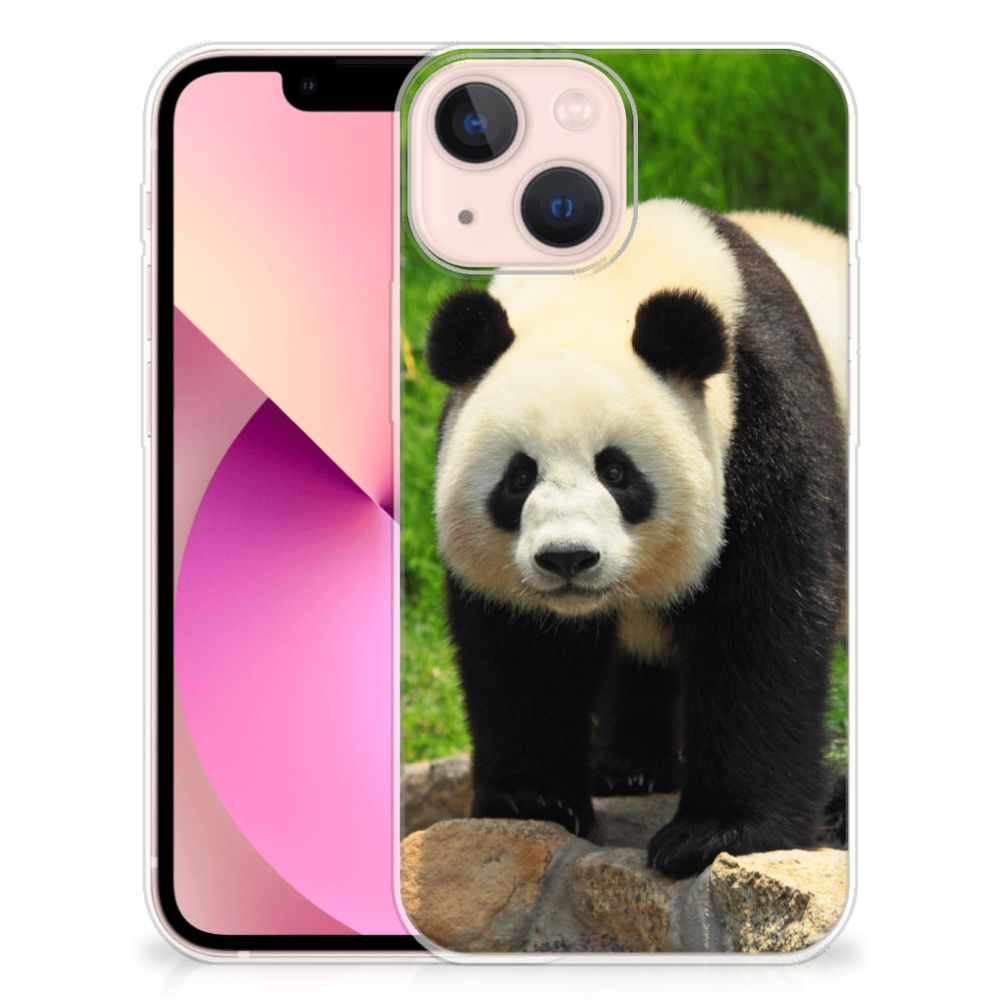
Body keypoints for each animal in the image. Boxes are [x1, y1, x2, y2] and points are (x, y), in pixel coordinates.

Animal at [424, 198, 847, 877]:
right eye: (519, 476)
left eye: (617, 472)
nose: (568, 558)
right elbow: (523, 648)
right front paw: (533, 799)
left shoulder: (765, 420)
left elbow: (763, 622)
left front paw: (717, 833)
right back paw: (629, 769)